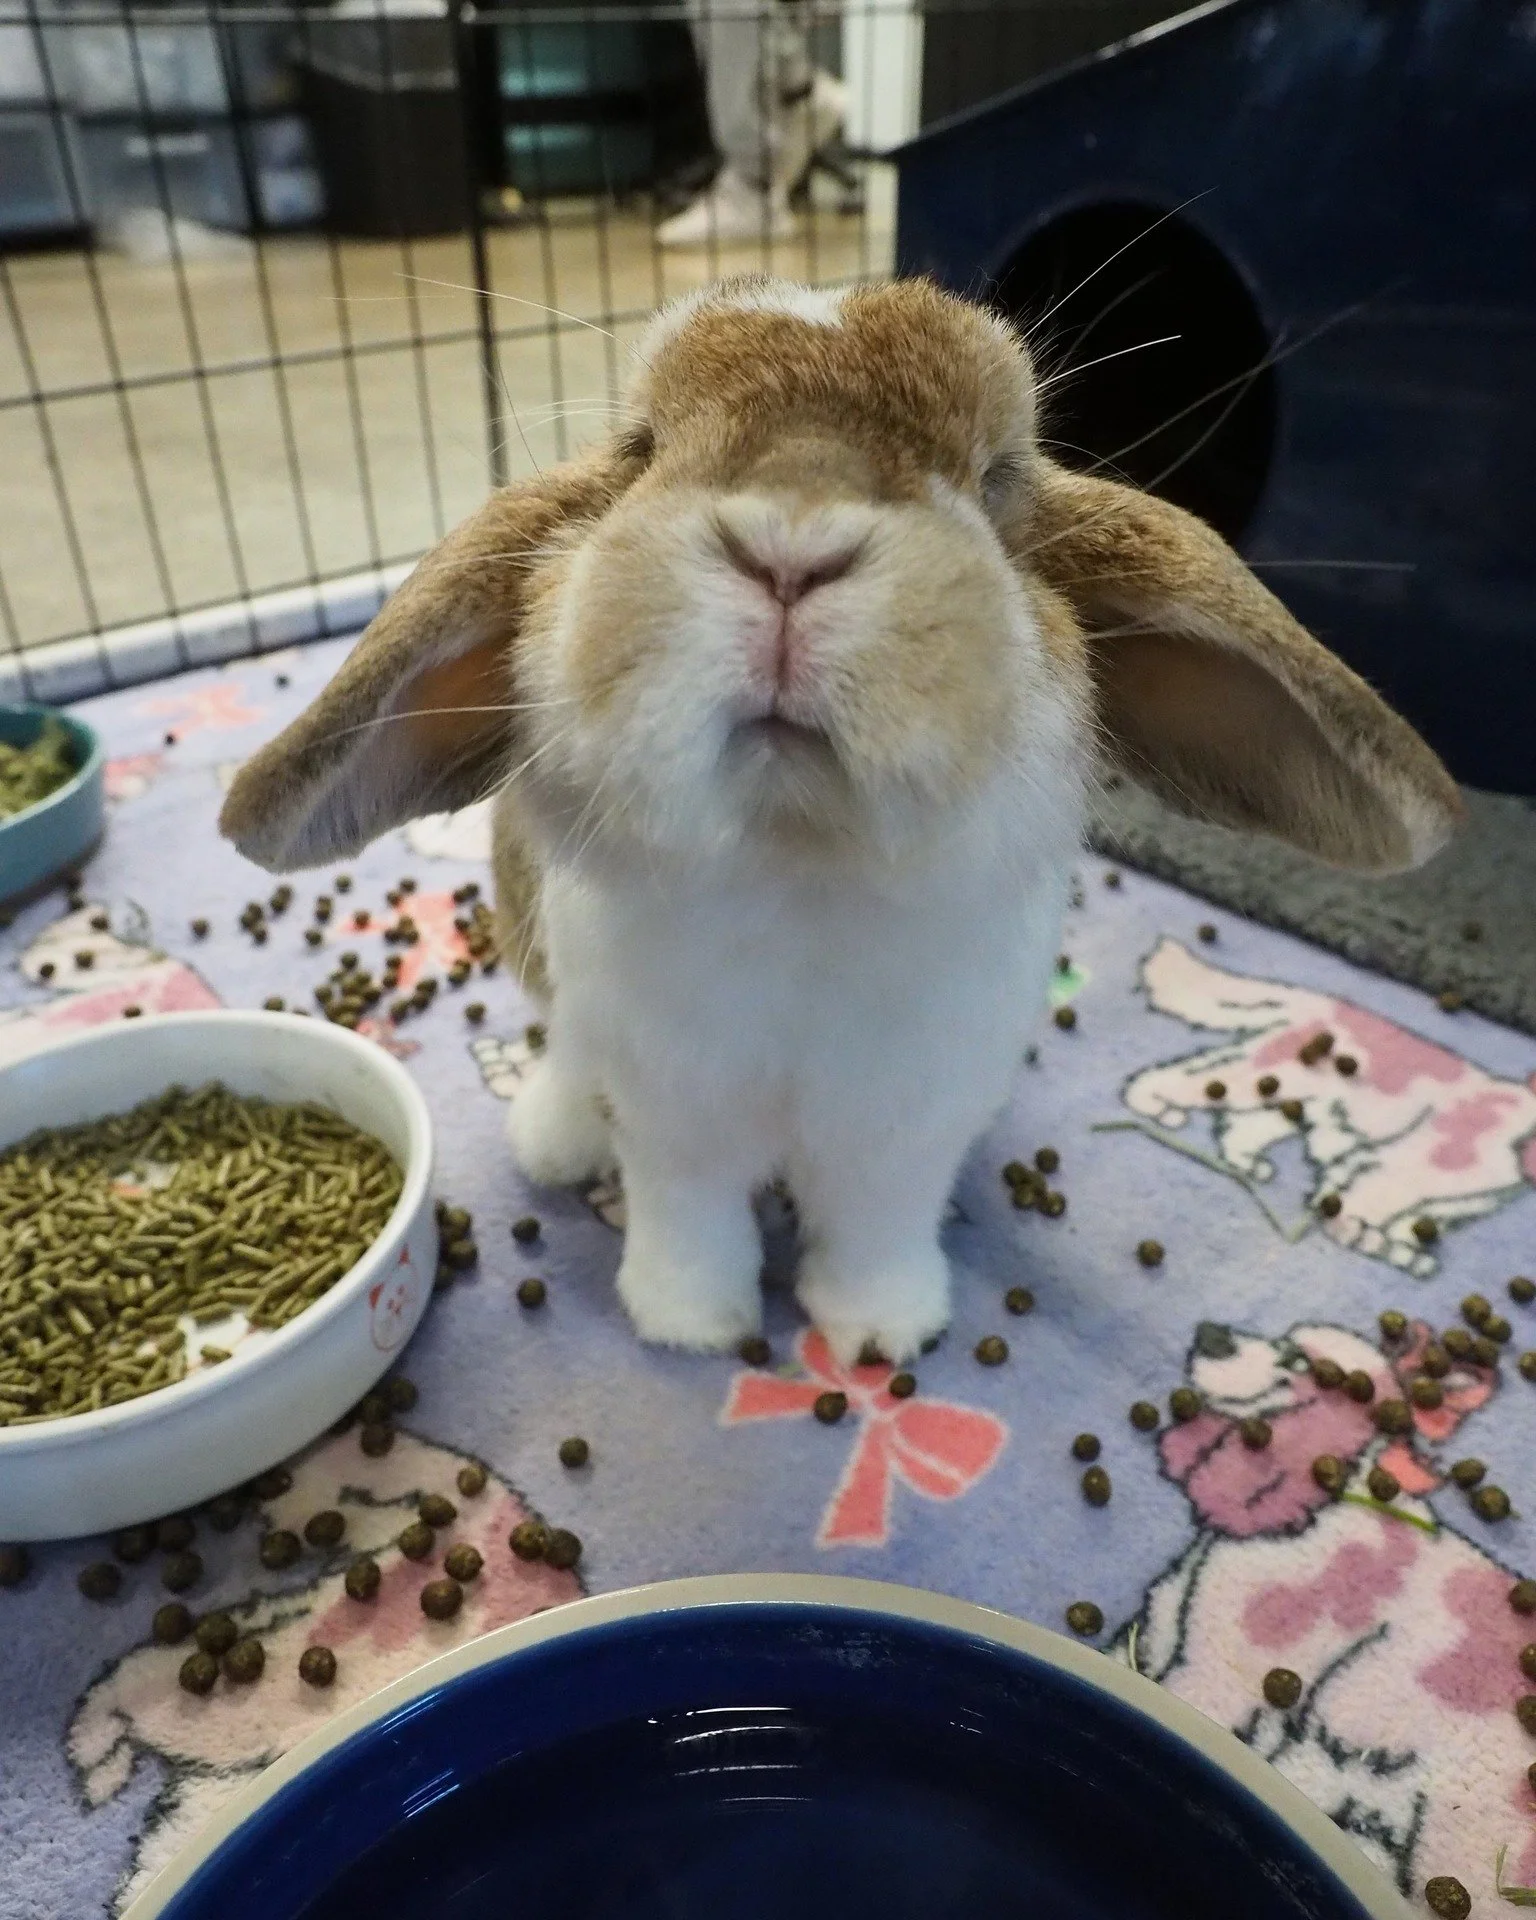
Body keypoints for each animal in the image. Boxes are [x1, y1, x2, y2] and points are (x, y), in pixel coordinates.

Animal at [220, 275, 1462, 1364]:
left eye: (996, 473)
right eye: (642, 448)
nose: (791, 546)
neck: (794, 859)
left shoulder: (905, 1125)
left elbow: (874, 1225)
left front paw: (882, 1330)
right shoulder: (674, 1113)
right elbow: (689, 1214)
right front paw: (691, 1327)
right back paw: (556, 1142)